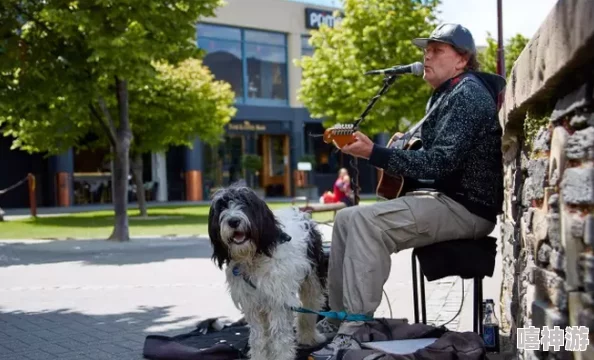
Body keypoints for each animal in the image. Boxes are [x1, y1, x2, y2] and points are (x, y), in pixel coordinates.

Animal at [207, 186, 326, 360]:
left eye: (245, 204)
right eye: (222, 207)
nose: (233, 221)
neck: (254, 257)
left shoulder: (278, 301)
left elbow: (279, 336)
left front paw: (282, 356)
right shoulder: (252, 304)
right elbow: (258, 338)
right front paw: (260, 356)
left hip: (312, 280)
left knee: (310, 308)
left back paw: (308, 337)